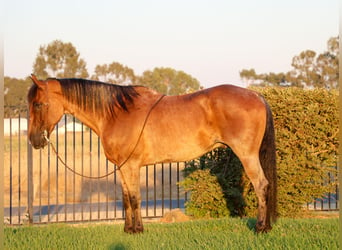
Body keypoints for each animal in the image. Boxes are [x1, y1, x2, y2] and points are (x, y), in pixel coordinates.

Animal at [27, 73, 278, 233]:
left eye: (38, 104)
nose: (33, 140)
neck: (115, 113)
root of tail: (256, 95)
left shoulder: (131, 166)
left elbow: (135, 197)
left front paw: (138, 229)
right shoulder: (122, 167)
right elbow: (126, 198)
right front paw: (128, 230)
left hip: (247, 156)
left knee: (262, 186)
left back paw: (260, 228)